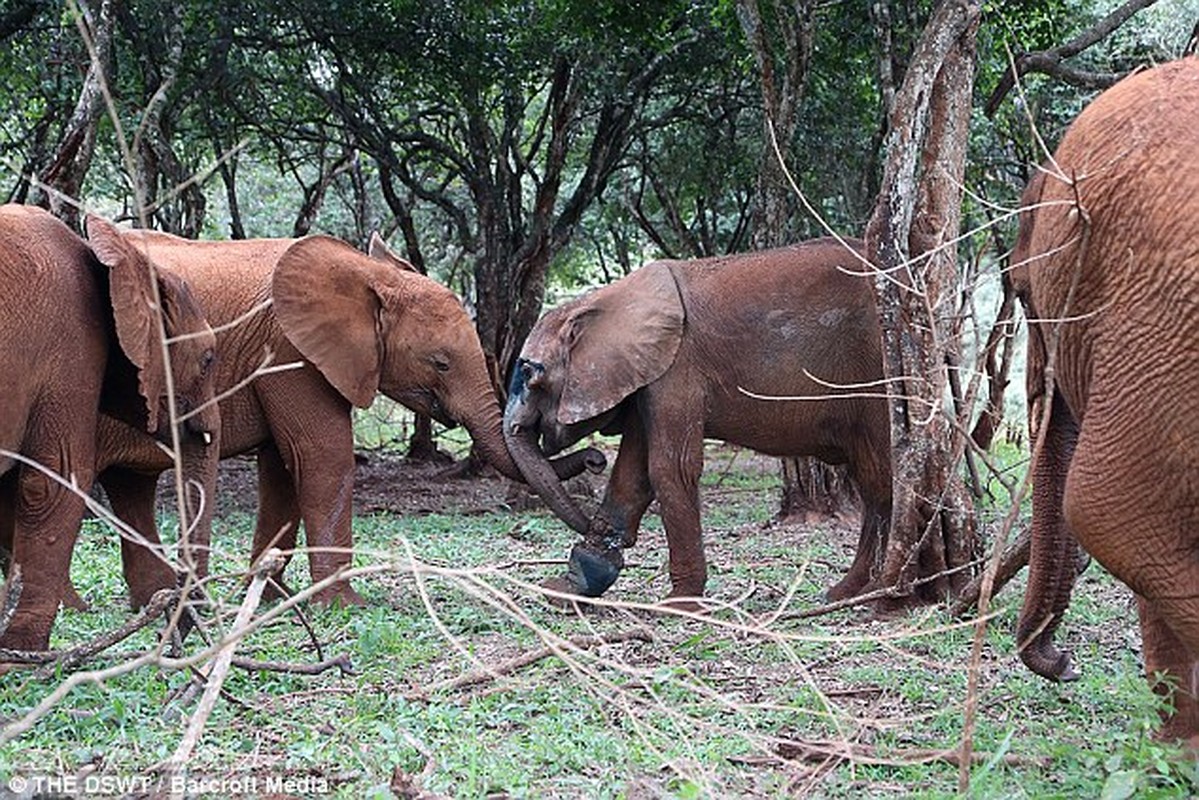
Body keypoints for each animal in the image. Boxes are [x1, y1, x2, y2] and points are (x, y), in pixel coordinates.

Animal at [94, 227, 604, 609]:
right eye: (440, 363)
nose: (597, 458)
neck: (365, 274)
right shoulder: (290, 350)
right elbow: (322, 456)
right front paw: (341, 605)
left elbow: (283, 468)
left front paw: (270, 599)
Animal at [503, 237, 892, 606]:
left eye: (530, 373)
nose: (595, 459)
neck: (604, 300)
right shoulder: (650, 375)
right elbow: (633, 473)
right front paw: (568, 590)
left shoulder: (677, 369)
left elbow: (669, 468)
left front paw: (679, 605)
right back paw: (847, 594)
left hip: (876, 374)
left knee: (879, 480)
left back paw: (863, 593)